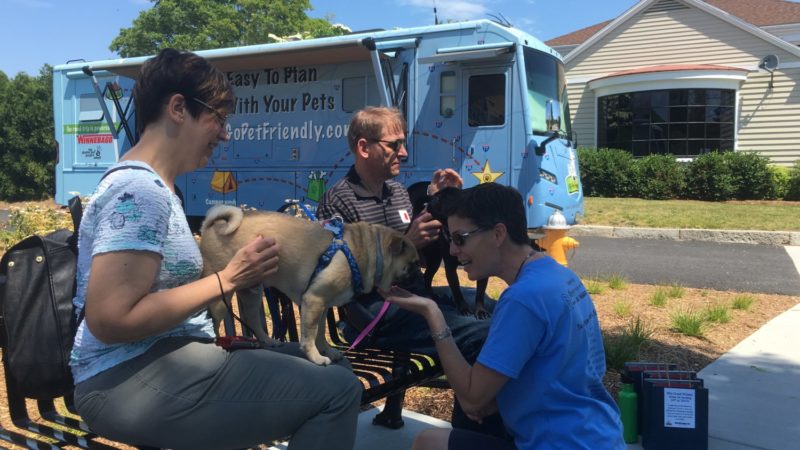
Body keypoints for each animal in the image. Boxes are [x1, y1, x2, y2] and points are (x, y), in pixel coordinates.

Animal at [200, 206, 418, 364]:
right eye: (413, 264)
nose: (418, 275)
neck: (366, 250)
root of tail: (214, 225)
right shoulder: (314, 300)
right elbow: (309, 335)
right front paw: (315, 357)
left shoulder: (322, 306)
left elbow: (320, 332)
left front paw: (327, 350)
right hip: (220, 296)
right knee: (215, 323)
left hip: (252, 291)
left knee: (253, 318)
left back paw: (268, 341)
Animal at [410, 184, 490, 320]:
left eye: (437, 199)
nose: (428, 202)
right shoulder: (450, 268)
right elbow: (456, 289)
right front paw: (463, 309)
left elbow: (480, 292)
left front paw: (480, 311)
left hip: (435, 261)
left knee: (427, 277)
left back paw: (432, 295)